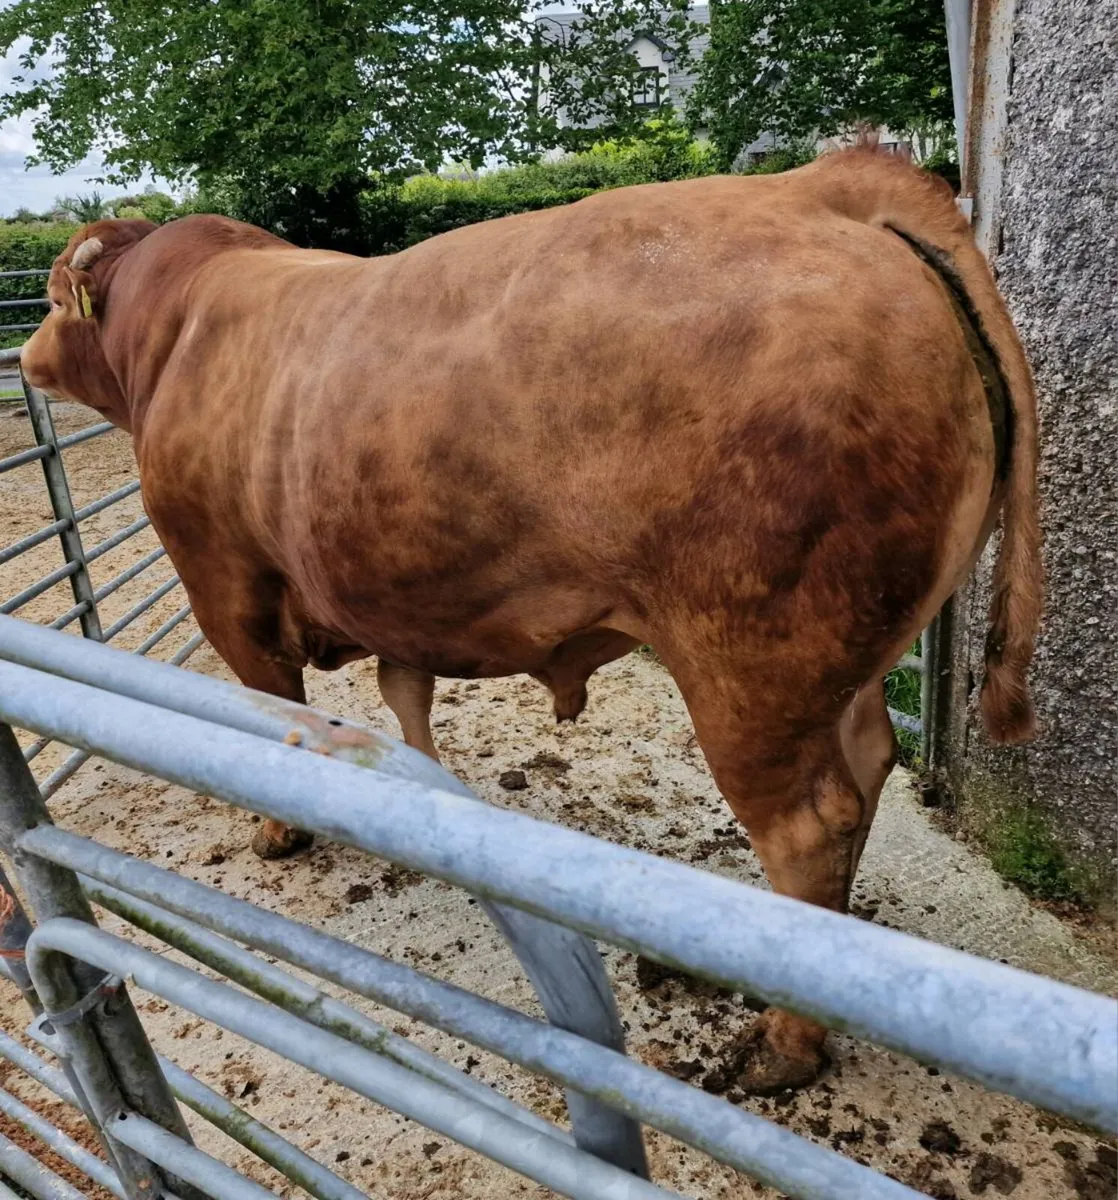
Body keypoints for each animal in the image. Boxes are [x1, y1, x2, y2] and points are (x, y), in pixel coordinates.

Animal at [21, 146, 1041, 1094]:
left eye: (54, 296)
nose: (25, 354)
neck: (176, 328)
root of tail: (822, 182)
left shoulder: (224, 581)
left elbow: (279, 710)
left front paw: (279, 830)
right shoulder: (390, 596)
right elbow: (405, 695)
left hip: (751, 658)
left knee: (808, 826)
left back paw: (783, 1044)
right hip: (847, 659)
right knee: (869, 766)